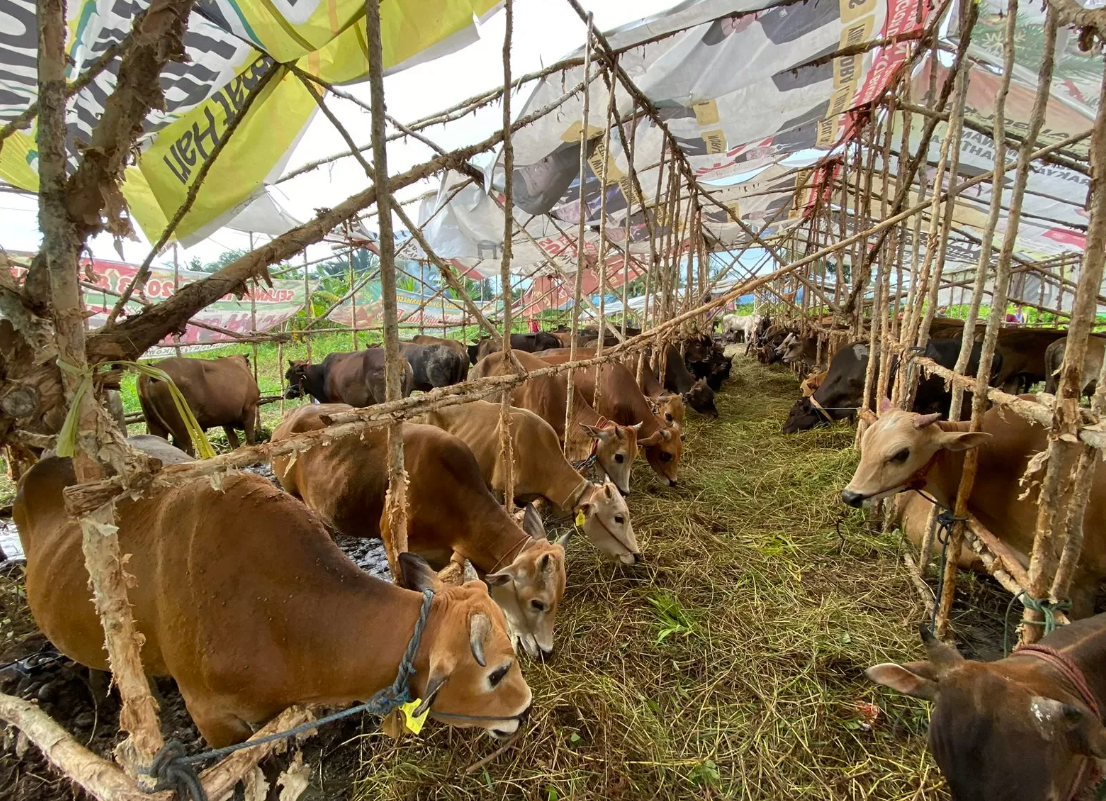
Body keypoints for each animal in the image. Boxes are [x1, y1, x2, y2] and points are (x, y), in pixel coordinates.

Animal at [272, 402, 570, 659]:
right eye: (537, 603)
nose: (547, 652)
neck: (450, 494)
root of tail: (287, 419)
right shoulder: (393, 543)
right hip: (294, 496)